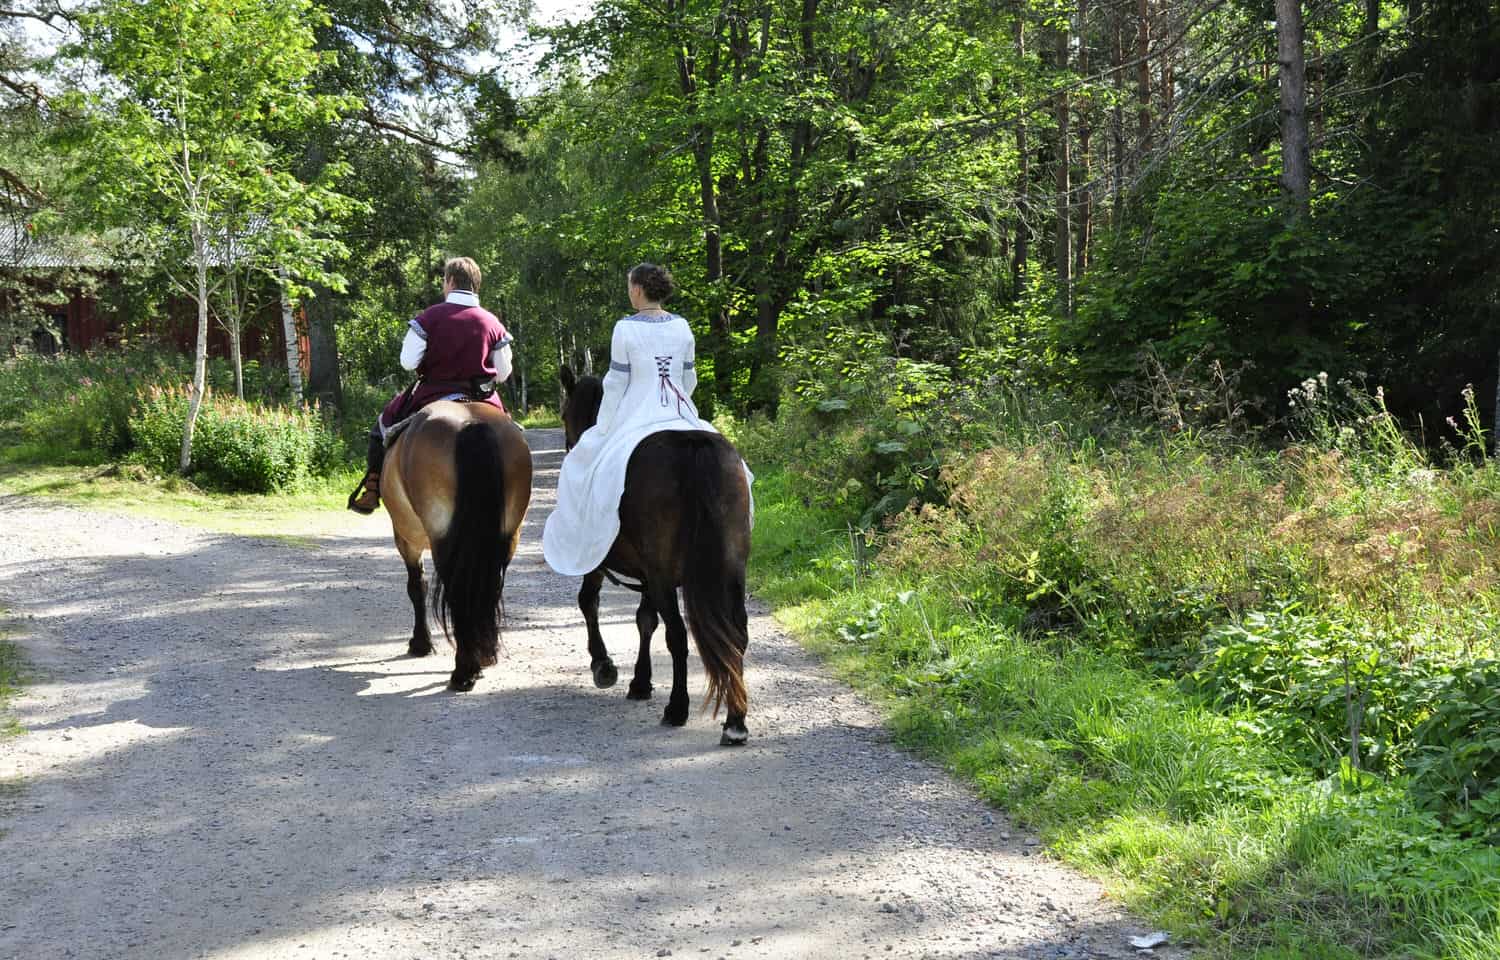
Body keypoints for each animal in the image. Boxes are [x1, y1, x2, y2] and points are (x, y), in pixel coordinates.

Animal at [381, 399, 534, 690]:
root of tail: (471, 423)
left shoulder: (405, 537)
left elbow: (416, 586)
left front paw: (421, 643)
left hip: (443, 539)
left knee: (457, 591)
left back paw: (464, 670)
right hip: (507, 536)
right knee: (488, 587)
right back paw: (483, 655)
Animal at [561, 363, 756, 747]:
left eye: (563, 415)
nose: (569, 445)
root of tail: (695, 448)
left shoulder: (610, 562)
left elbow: (590, 601)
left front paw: (604, 666)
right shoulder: (649, 572)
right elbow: (645, 620)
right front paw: (640, 681)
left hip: (665, 573)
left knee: (678, 635)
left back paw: (677, 708)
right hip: (731, 569)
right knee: (736, 633)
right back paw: (735, 721)